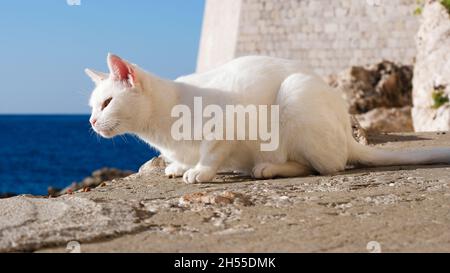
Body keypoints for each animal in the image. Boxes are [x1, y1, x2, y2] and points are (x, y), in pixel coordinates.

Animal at [86, 53, 450, 183]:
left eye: (107, 103)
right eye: (92, 106)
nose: (90, 122)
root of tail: (349, 136)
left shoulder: (227, 123)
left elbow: (211, 152)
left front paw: (200, 171)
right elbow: (184, 157)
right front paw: (178, 166)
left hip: (294, 94)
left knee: (326, 166)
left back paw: (269, 168)